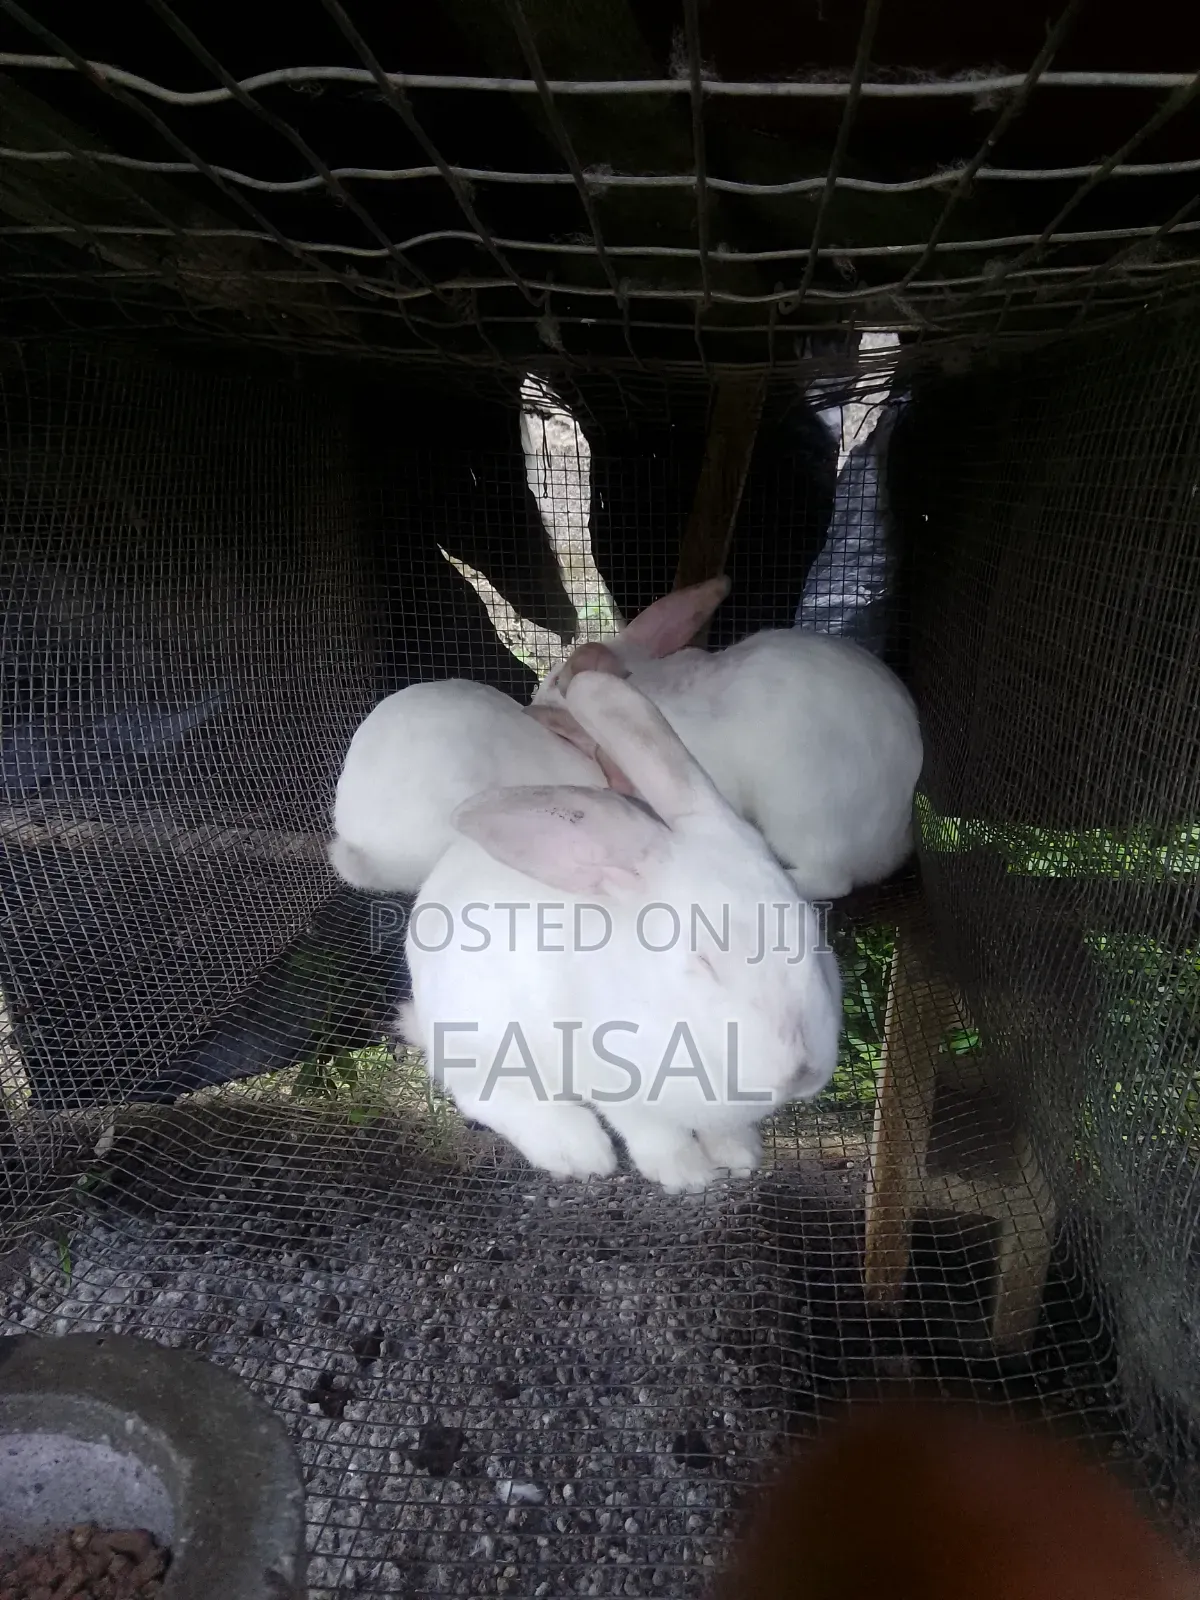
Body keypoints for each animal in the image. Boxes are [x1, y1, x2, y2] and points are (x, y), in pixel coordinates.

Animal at [399, 669, 843, 1193]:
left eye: (815, 937)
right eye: (705, 961)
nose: (803, 1071)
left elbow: (726, 1132)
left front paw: (740, 1158)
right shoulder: (616, 1086)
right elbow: (655, 1135)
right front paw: (687, 1177)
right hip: (481, 1038)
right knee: (483, 1092)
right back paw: (578, 1150)